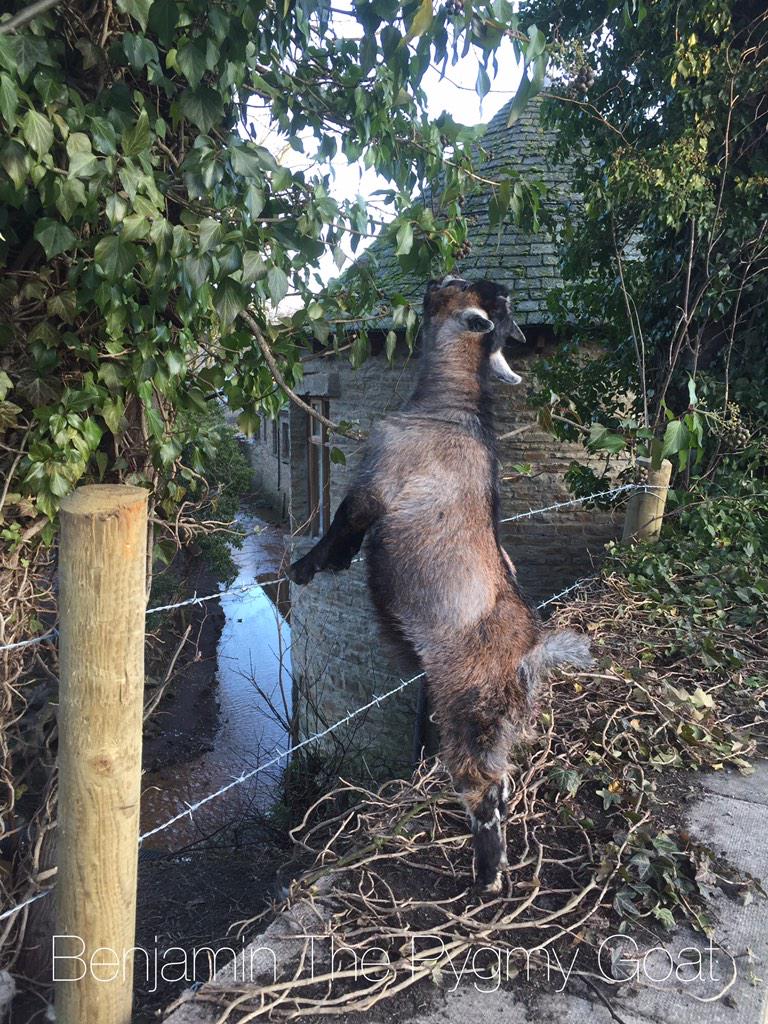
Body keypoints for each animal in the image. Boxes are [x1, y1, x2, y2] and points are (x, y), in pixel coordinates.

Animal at [288, 276, 593, 894]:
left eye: (457, 288)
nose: (432, 282)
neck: (450, 410)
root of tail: (531, 653)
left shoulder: (377, 483)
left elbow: (343, 527)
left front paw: (307, 568)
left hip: (465, 711)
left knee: (483, 790)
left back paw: (488, 877)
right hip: (497, 723)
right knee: (503, 782)